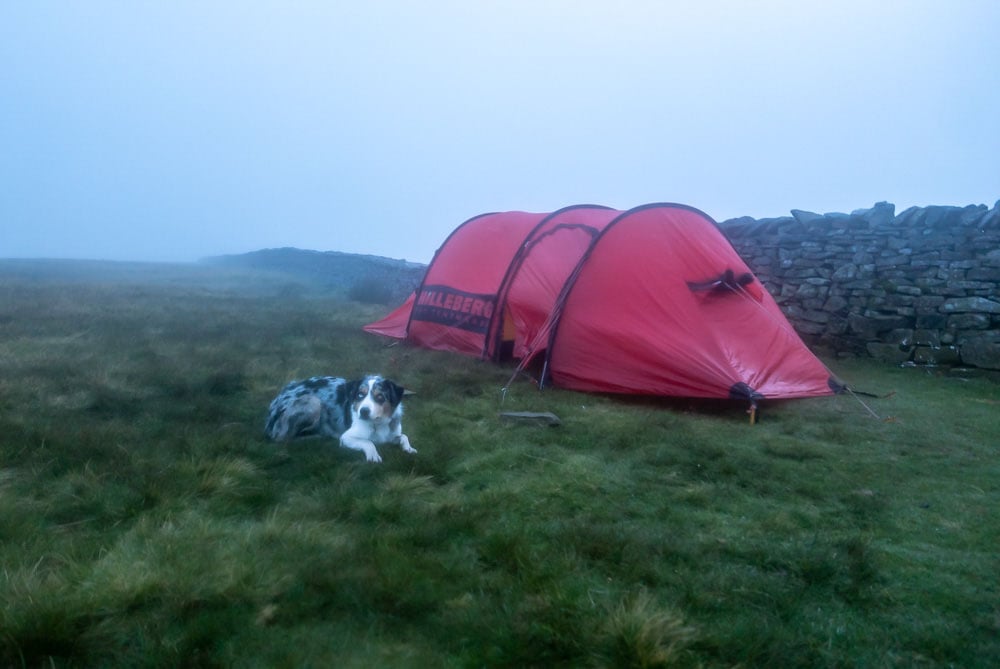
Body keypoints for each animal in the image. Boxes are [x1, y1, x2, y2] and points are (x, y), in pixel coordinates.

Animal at [264, 374, 416, 462]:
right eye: (360, 395)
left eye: (380, 397)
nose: (364, 412)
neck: (377, 424)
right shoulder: (346, 437)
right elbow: (368, 442)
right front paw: (373, 455)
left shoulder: (391, 435)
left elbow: (404, 436)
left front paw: (409, 449)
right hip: (313, 401)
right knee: (283, 438)